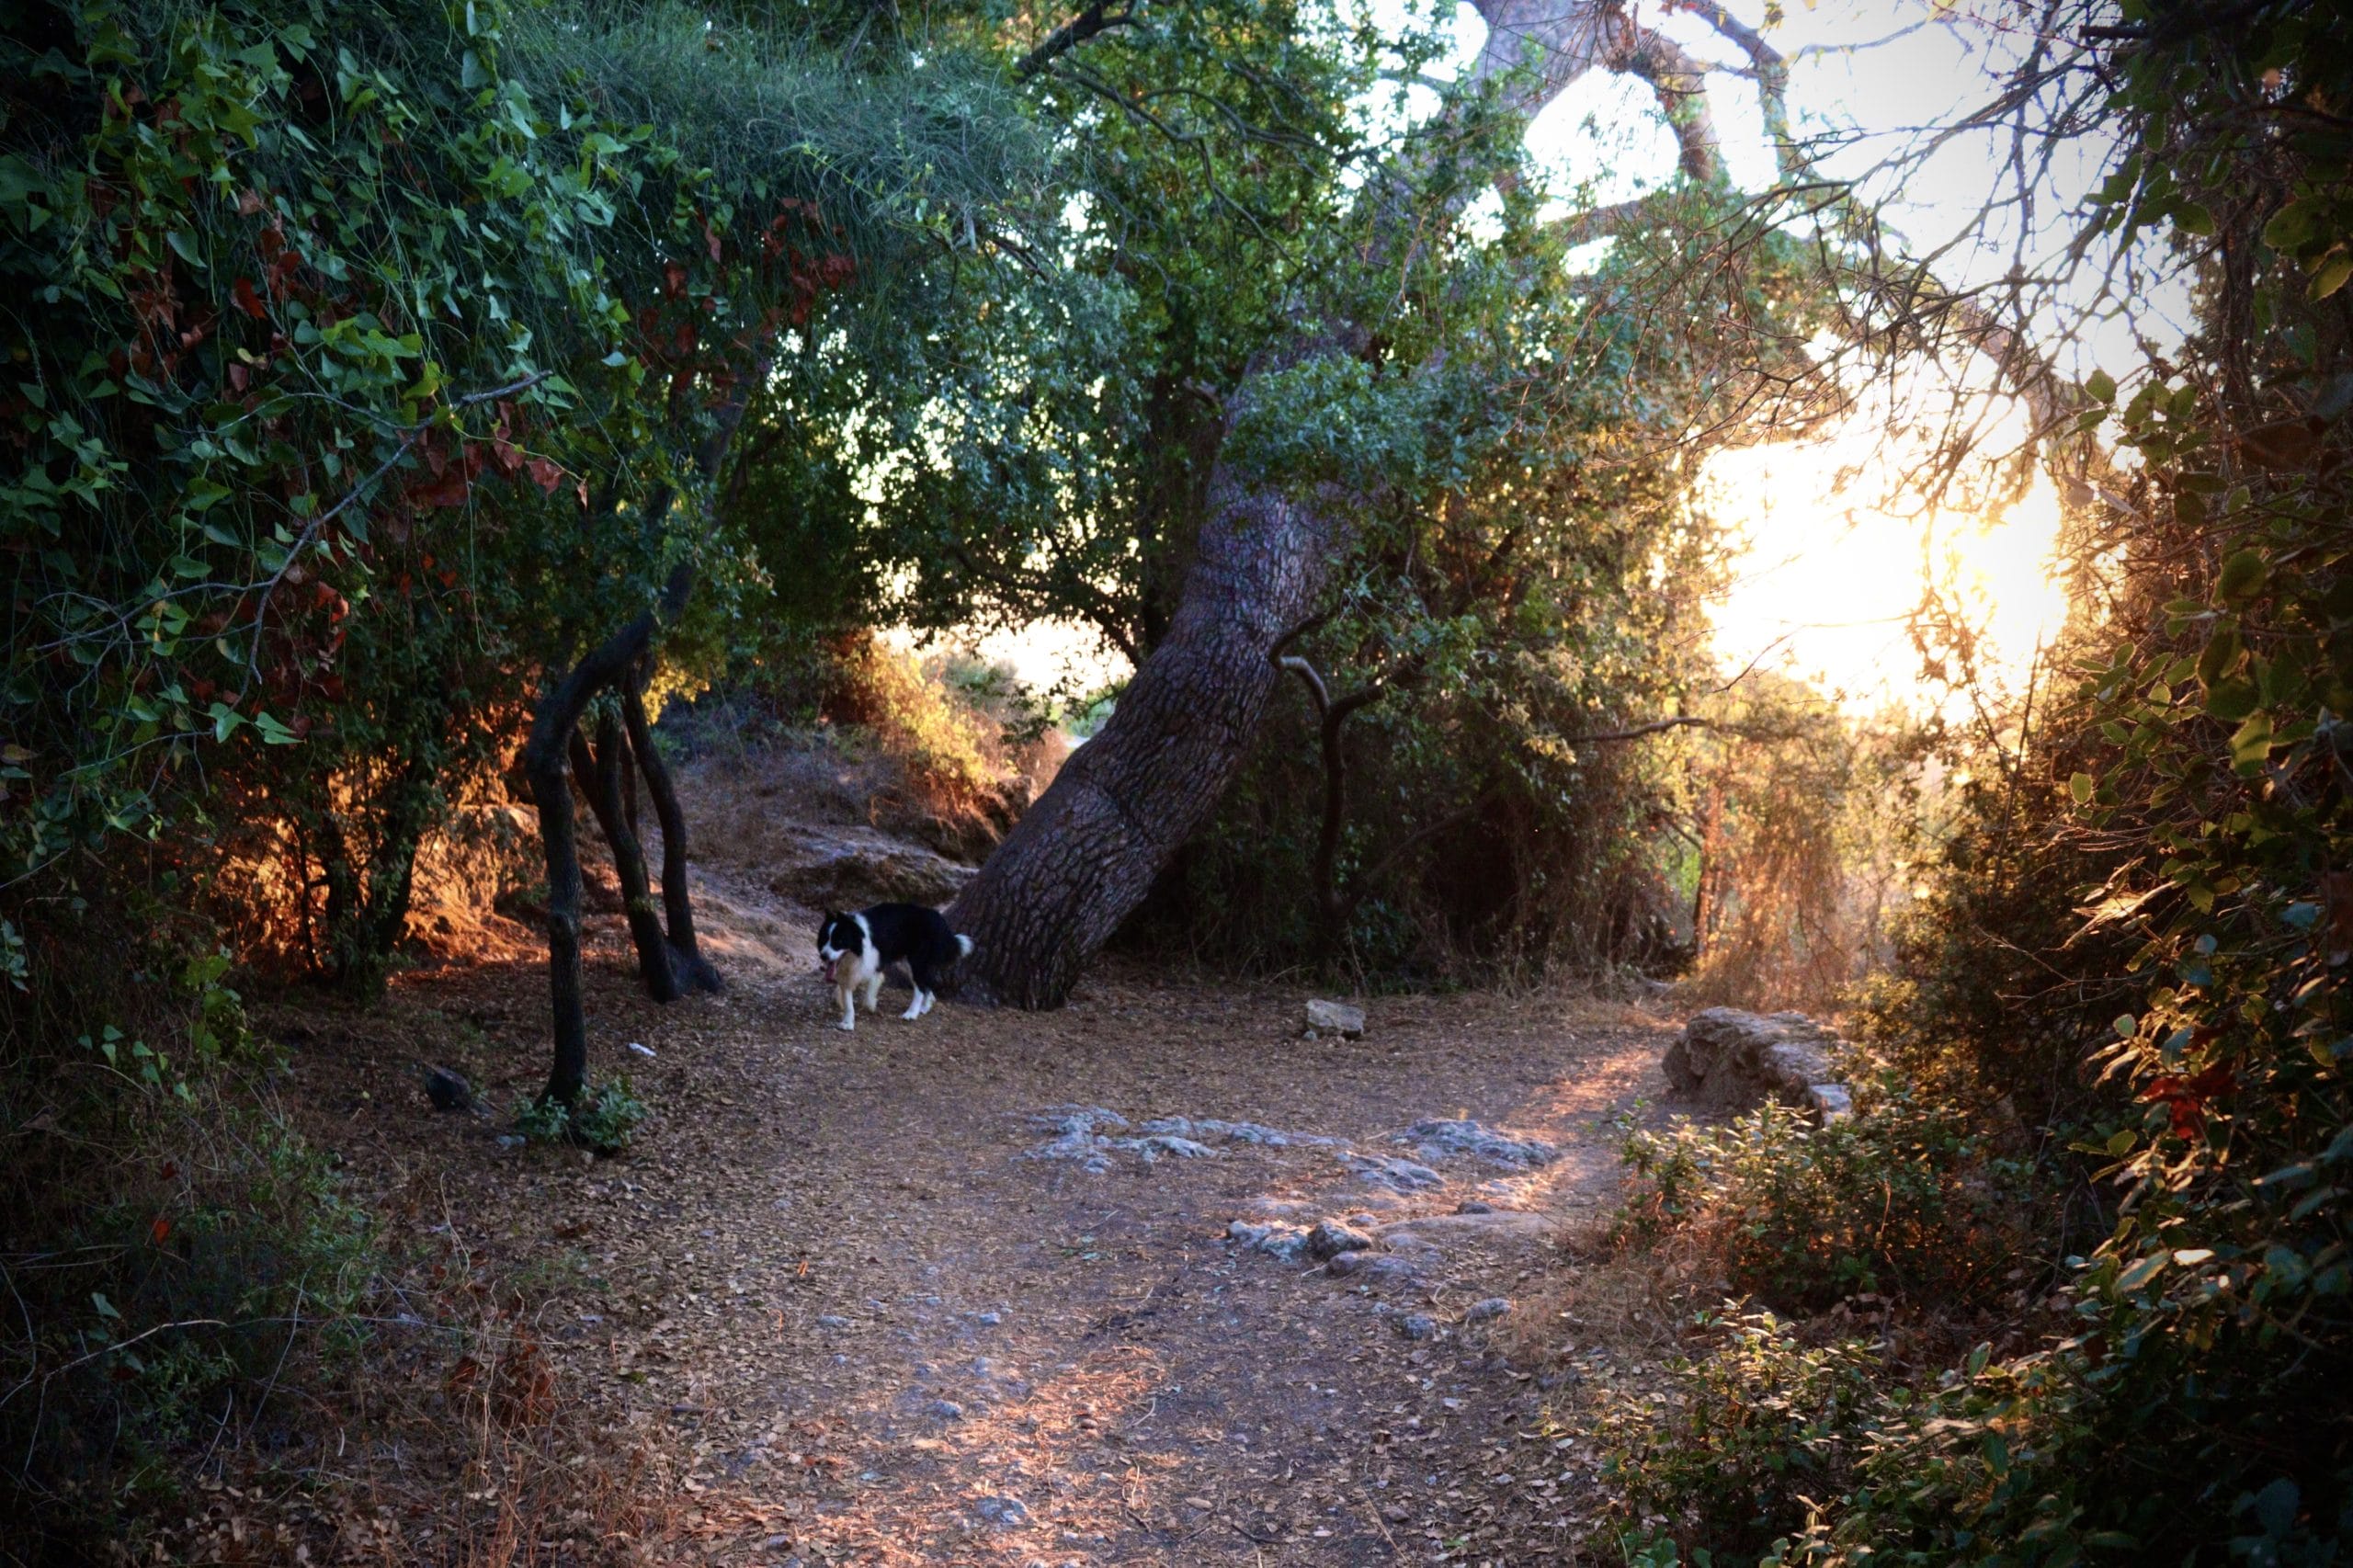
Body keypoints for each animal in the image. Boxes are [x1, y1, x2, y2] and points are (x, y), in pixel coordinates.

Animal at [813, 903, 969, 1026]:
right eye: (824, 939)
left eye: (839, 941)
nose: (823, 955)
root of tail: (936, 916)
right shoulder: (849, 972)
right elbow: (848, 1000)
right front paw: (847, 1022)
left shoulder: (874, 962)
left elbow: (873, 984)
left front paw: (870, 1004)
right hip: (906, 964)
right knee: (926, 981)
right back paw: (925, 1006)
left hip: (916, 961)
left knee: (920, 986)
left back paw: (912, 1013)